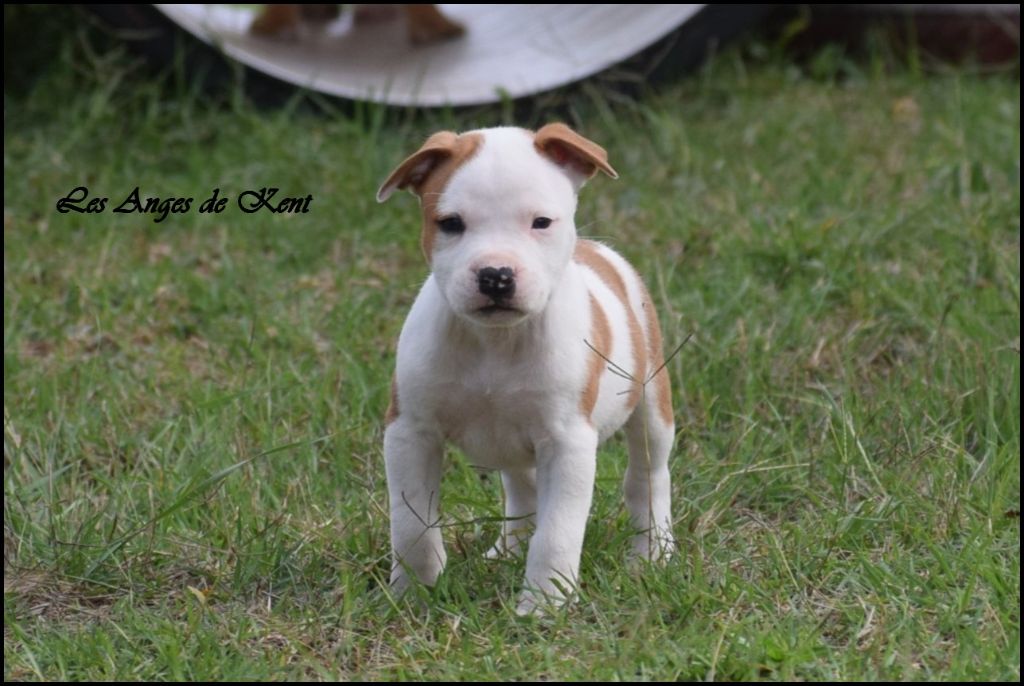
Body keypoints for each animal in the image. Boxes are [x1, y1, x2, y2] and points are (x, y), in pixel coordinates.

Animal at [376, 122, 671, 614]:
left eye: (541, 223)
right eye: (450, 223)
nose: (496, 275)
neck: (495, 342)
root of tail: (598, 250)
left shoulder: (567, 444)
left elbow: (557, 532)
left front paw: (544, 605)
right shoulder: (410, 433)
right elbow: (412, 524)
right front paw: (415, 593)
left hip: (652, 407)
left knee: (647, 478)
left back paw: (653, 555)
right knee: (522, 490)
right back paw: (505, 552)